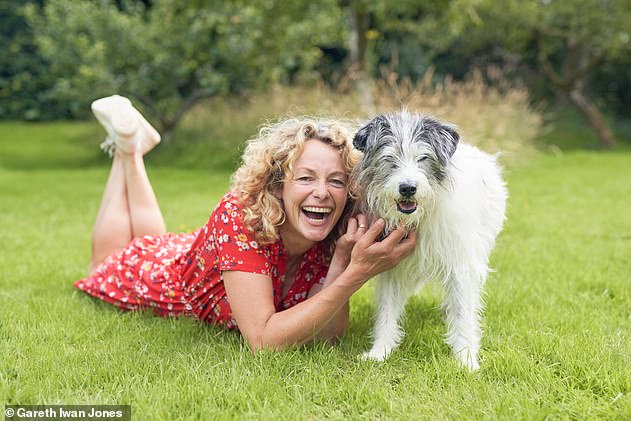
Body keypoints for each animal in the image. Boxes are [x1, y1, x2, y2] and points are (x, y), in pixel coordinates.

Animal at [354, 110, 512, 370]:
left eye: (423, 158)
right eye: (389, 159)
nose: (408, 188)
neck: (419, 217)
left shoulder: (461, 265)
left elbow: (464, 312)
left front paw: (466, 360)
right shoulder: (391, 266)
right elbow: (387, 310)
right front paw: (380, 352)